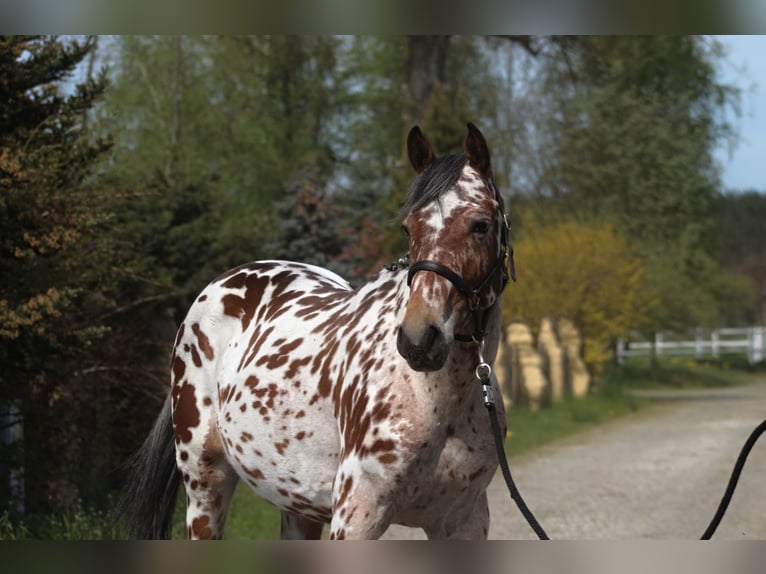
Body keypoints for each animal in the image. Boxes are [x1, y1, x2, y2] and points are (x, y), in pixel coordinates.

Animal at [120, 124, 516, 544]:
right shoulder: (356, 517)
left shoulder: (463, 520)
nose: (419, 340)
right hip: (204, 487)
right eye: (408, 227)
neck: (436, 400)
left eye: (480, 224)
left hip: (298, 504)